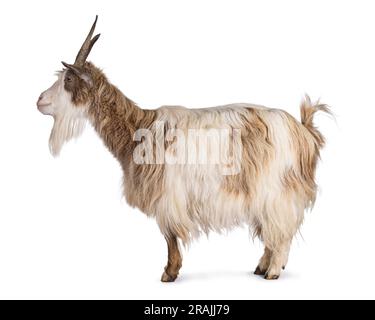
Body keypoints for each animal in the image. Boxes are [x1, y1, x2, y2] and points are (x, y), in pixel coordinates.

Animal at [37, 16, 328, 282]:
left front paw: (169, 272)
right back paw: (261, 267)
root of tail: (304, 131)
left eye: (69, 78)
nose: (40, 100)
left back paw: (273, 271)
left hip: (277, 189)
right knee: (272, 230)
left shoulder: (168, 195)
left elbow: (169, 235)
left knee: (281, 230)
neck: (139, 130)